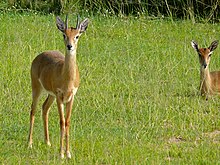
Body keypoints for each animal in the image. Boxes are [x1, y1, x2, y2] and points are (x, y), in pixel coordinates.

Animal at [28, 15, 88, 159]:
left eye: (77, 35)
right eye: (64, 34)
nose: (69, 46)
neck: (67, 79)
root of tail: (39, 56)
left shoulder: (71, 97)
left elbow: (67, 122)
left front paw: (68, 153)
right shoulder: (60, 96)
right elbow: (61, 122)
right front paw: (61, 154)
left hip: (51, 95)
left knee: (44, 108)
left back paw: (48, 142)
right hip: (36, 88)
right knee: (33, 110)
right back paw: (29, 144)